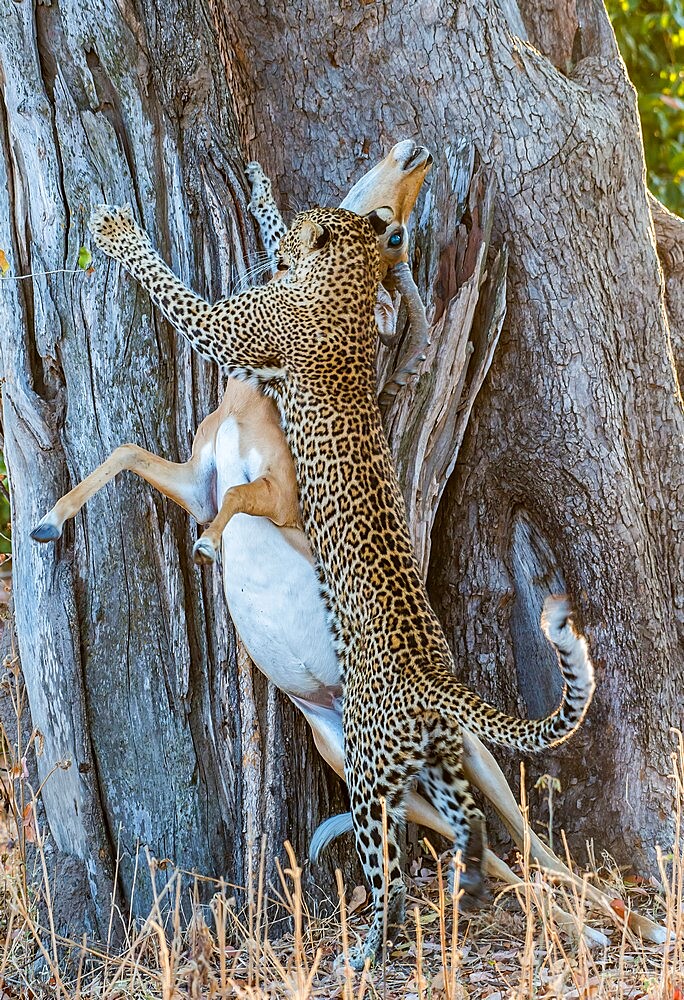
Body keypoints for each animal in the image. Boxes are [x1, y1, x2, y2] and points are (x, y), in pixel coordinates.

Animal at [89, 203, 592, 968]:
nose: (295, 239)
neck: (348, 287)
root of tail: (430, 680)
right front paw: (267, 208)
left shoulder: (233, 331)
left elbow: (174, 289)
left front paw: (120, 232)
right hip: (428, 767)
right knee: (477, 830)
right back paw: (498, 894)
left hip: (372, 774)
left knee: (395, 867)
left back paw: (371, 949)